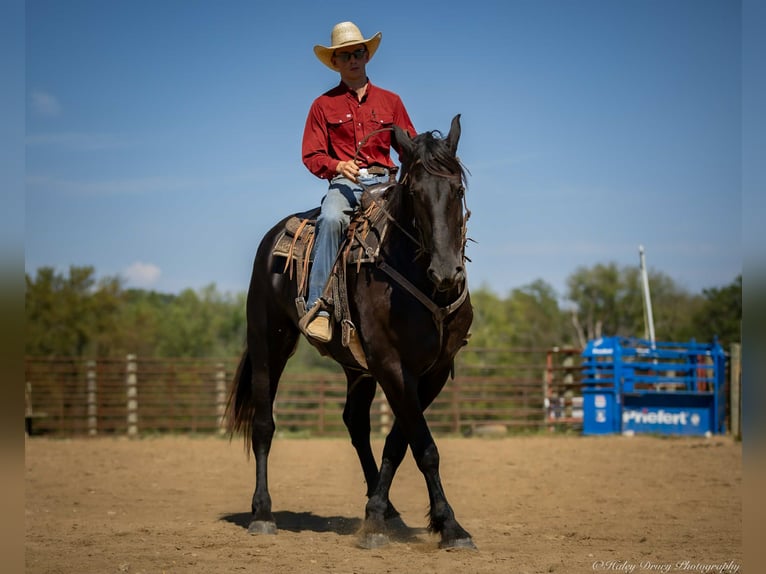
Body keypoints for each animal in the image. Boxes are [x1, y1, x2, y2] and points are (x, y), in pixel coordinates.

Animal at [227, 114, 475, 550]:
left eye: (457, 189)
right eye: (414, 192)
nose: (447, 272)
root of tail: (272, 239)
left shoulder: (433, 370)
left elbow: (400, 441)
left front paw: (383, 515)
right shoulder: (392, 364)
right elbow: (424, 447)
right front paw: (448, 525)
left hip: (356, 367)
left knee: (355, 422)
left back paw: (387, 509)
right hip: (268, 342)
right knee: (263, 424)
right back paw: (262, 513)